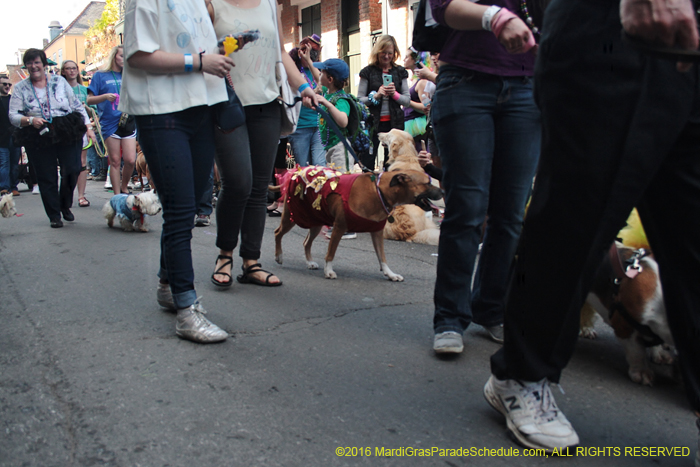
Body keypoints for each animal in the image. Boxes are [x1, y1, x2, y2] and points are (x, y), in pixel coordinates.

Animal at [274, 167, 442, 282]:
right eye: (427, 183)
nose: (443, 191)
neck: (378, 191)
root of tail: (298, 171)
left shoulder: (377, 232)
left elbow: (382, 257)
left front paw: (390, 274)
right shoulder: (339, 227)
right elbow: (331, 253)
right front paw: (328, 271)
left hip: (316, 220)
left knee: (306, 242)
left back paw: (309, 262)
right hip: (292, 216)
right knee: (278, 233)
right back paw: (279, 256)